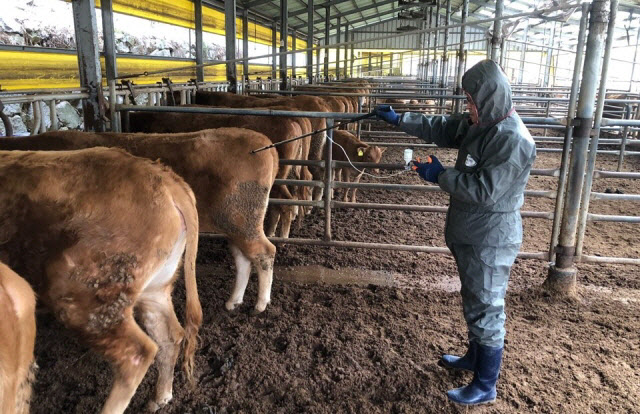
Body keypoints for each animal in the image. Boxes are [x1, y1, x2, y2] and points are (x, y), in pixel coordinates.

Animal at [0, 128, 280, 312]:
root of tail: (262, 142)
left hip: (242, 217)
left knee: (264, 252)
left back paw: (260, 304)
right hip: (237, 223)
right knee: (244, 257)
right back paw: (234, 301)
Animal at [0, 149, 201, 414]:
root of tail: (164, 178)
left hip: (84, 296)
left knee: (137, 353)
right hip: (155, 288)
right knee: (170, 335)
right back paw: (159, 398)